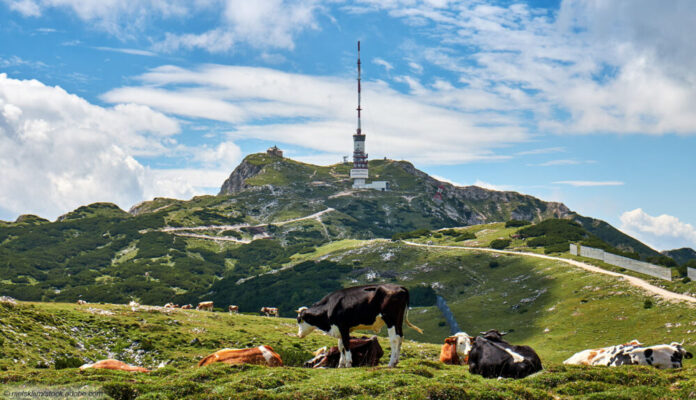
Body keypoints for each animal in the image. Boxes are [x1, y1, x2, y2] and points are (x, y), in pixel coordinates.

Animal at [294, 282, 422, 368]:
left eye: (299, 320)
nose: (298, 335)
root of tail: (400, 287)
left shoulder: (343, 326)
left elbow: (346, 344)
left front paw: (348, 363)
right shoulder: (342, 329)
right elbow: (341, 345)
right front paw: (341, 364)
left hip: (391, 319)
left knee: (394, 339)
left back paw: (391, 363)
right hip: (398, 320)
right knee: (400, 337)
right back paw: (396, 361)